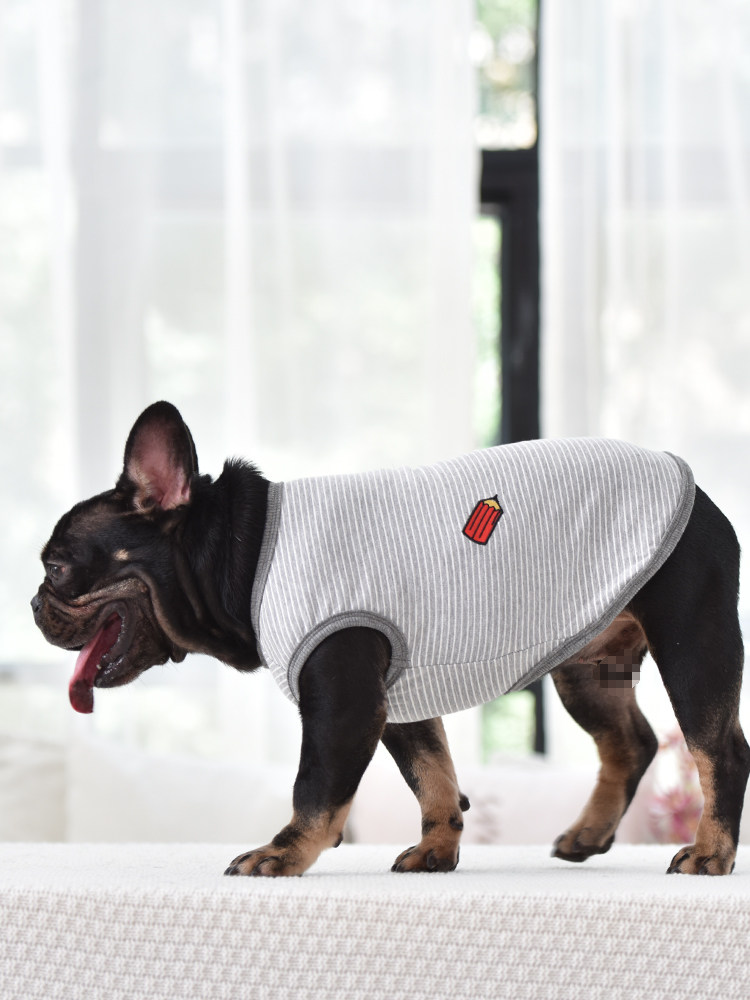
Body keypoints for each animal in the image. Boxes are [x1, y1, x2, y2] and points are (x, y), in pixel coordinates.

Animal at [32, 401, 750, 876]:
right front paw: (438, 849)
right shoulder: (398, 703)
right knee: (630, 743)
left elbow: (317, 788)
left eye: (57, 567)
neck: (246, 551)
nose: (34, 604)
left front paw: (282, 853)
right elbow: (434, 777)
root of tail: (702, 496)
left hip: (692, 644)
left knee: (720, 751)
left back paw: (710, 853)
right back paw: (589, 834)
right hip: (586, 669)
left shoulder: (342, 703)